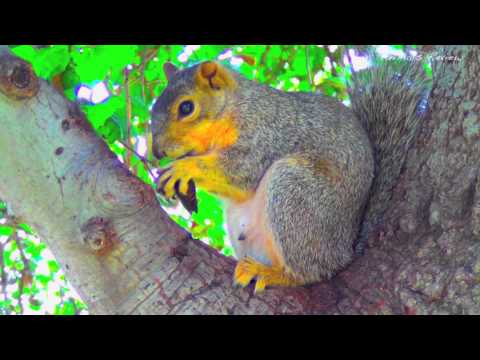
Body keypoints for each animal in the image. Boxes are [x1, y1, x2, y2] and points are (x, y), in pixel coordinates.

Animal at [150, 55, 428, 292]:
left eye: (187, 107)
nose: (156, 151)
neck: (234, 108)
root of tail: (346, 248)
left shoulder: (265, 134)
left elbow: (242, 170)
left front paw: (183, 168)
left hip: (295, 192)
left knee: (312, 271)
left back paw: (272, 274)